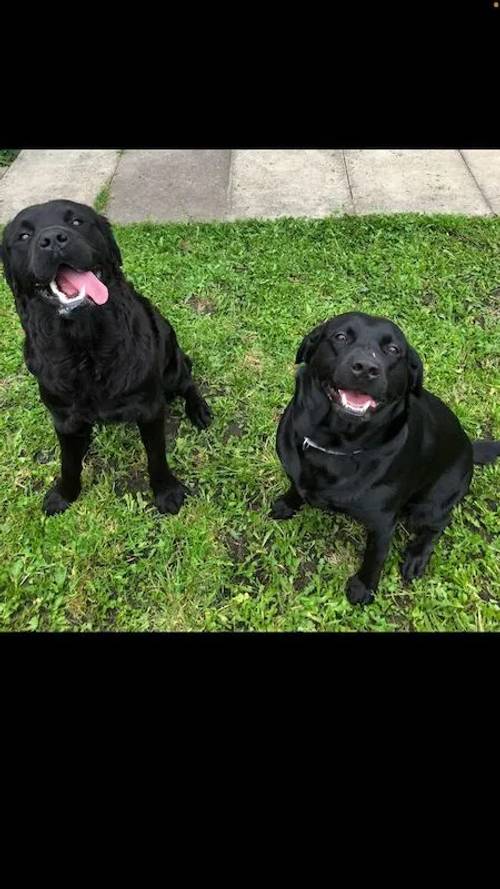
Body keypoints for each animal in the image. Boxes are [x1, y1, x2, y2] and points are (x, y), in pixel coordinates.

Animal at [0, 196, 211, 512]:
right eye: (24, 236)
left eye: (77, 221)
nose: (53, 239)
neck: (85, 347)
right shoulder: (62, 416)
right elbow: (68, 463)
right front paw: (64, 494)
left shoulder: (149, 407)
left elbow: (156, 457)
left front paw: (166, 493)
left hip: (172, 362)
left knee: (188, 382)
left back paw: (199, 410)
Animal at [274, 310, 500, 604]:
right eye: (340, 336)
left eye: (393, 350)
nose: (366, 368)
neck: (336, 445)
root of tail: (469, 448)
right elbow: (296, 487)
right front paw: (287, 503)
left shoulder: (382, 524)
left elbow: (375, 558)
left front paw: (363, 588)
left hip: (427, 507)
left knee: (439, 524)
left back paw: (417, 556)